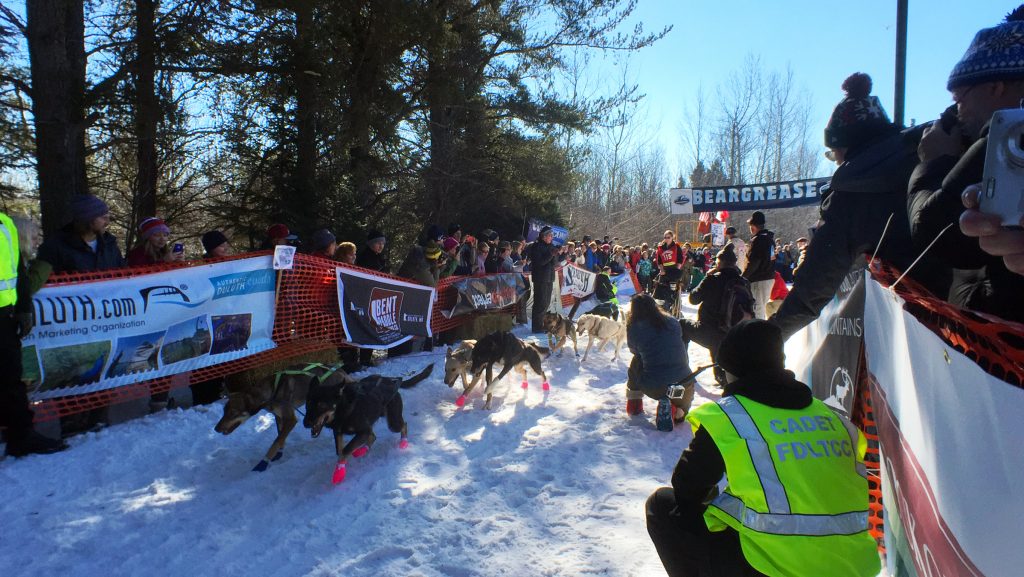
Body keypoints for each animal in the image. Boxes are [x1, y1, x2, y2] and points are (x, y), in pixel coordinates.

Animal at [214, 362, 354, 471]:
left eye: (233, 413)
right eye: (224, 411)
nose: (216, 428)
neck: (271, 391)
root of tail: (342, 373)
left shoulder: (291, 419)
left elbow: (276, 441)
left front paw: (263, 463)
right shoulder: (279, 417)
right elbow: (280, 436)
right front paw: (278, 454)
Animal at [301, 364, 434, 483]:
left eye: (321, 405)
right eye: (308, 403)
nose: (305, 423)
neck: (343, 408)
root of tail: (390, 380)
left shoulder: (363, 430)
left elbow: (345, 450)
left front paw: (339, 473)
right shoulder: (339, 431)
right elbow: (340, 450)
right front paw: (341, 467)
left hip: (393, 423)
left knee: (403, 425)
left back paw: (403, 443)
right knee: (373, 436)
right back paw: (362, 450)